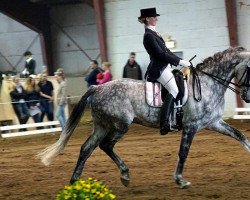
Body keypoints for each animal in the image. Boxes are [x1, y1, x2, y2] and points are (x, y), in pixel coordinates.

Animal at [37, 47, 250, 189]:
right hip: (120, 125)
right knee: (106, 145)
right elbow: (183, 153)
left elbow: (240, 135)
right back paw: (124, 175)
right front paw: (180, 180)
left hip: (102, 126)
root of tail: (98, 87)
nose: (247, 97)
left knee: (86, 148)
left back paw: (75, 181)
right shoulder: (191, 126)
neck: (207, 84)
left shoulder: (214, 123)